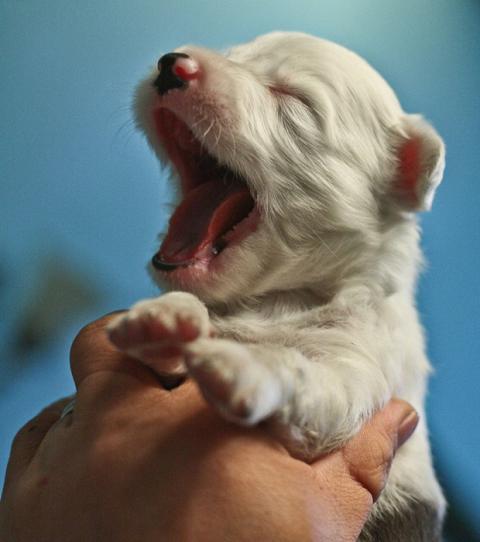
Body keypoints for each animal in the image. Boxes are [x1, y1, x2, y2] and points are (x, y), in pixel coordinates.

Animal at [109, 31, 446, 540]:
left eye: (295, 99)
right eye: (234, 56)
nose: (172, 65)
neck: (279, 299)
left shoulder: (358, 369)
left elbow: (309, 379)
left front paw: (246, 365)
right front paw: (167, 319)